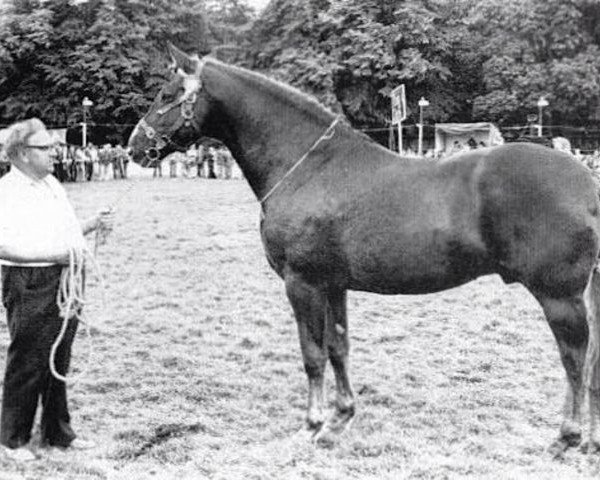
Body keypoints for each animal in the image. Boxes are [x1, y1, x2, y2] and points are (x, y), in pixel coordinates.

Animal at [129, 43, 600, 456]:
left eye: (167, 95)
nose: (136, 146)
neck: (307, 168)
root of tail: (586, 182)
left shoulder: (302, 283)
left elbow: (312, 354)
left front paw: (313, 425)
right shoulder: (333, 285)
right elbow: (339, 348)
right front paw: (341, 418)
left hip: (559, 296)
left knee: (574, 358)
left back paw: (567, 436)